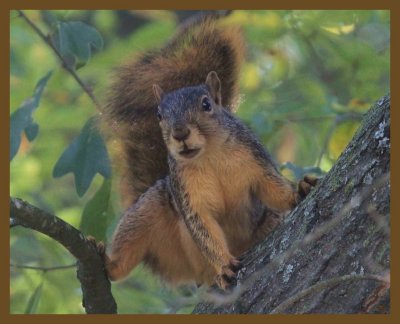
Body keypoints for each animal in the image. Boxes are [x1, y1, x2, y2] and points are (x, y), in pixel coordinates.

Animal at [98, 14, 318, 292]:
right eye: (159, 115)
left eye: (206, 104)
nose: (180, 133)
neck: (210, 156)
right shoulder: (188, 194)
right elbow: (204, 230)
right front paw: (223, 266)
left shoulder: (255, 161)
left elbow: (273, 188)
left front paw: (299, 189)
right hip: (146, 213)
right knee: (127, 252)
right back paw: (109, 264)